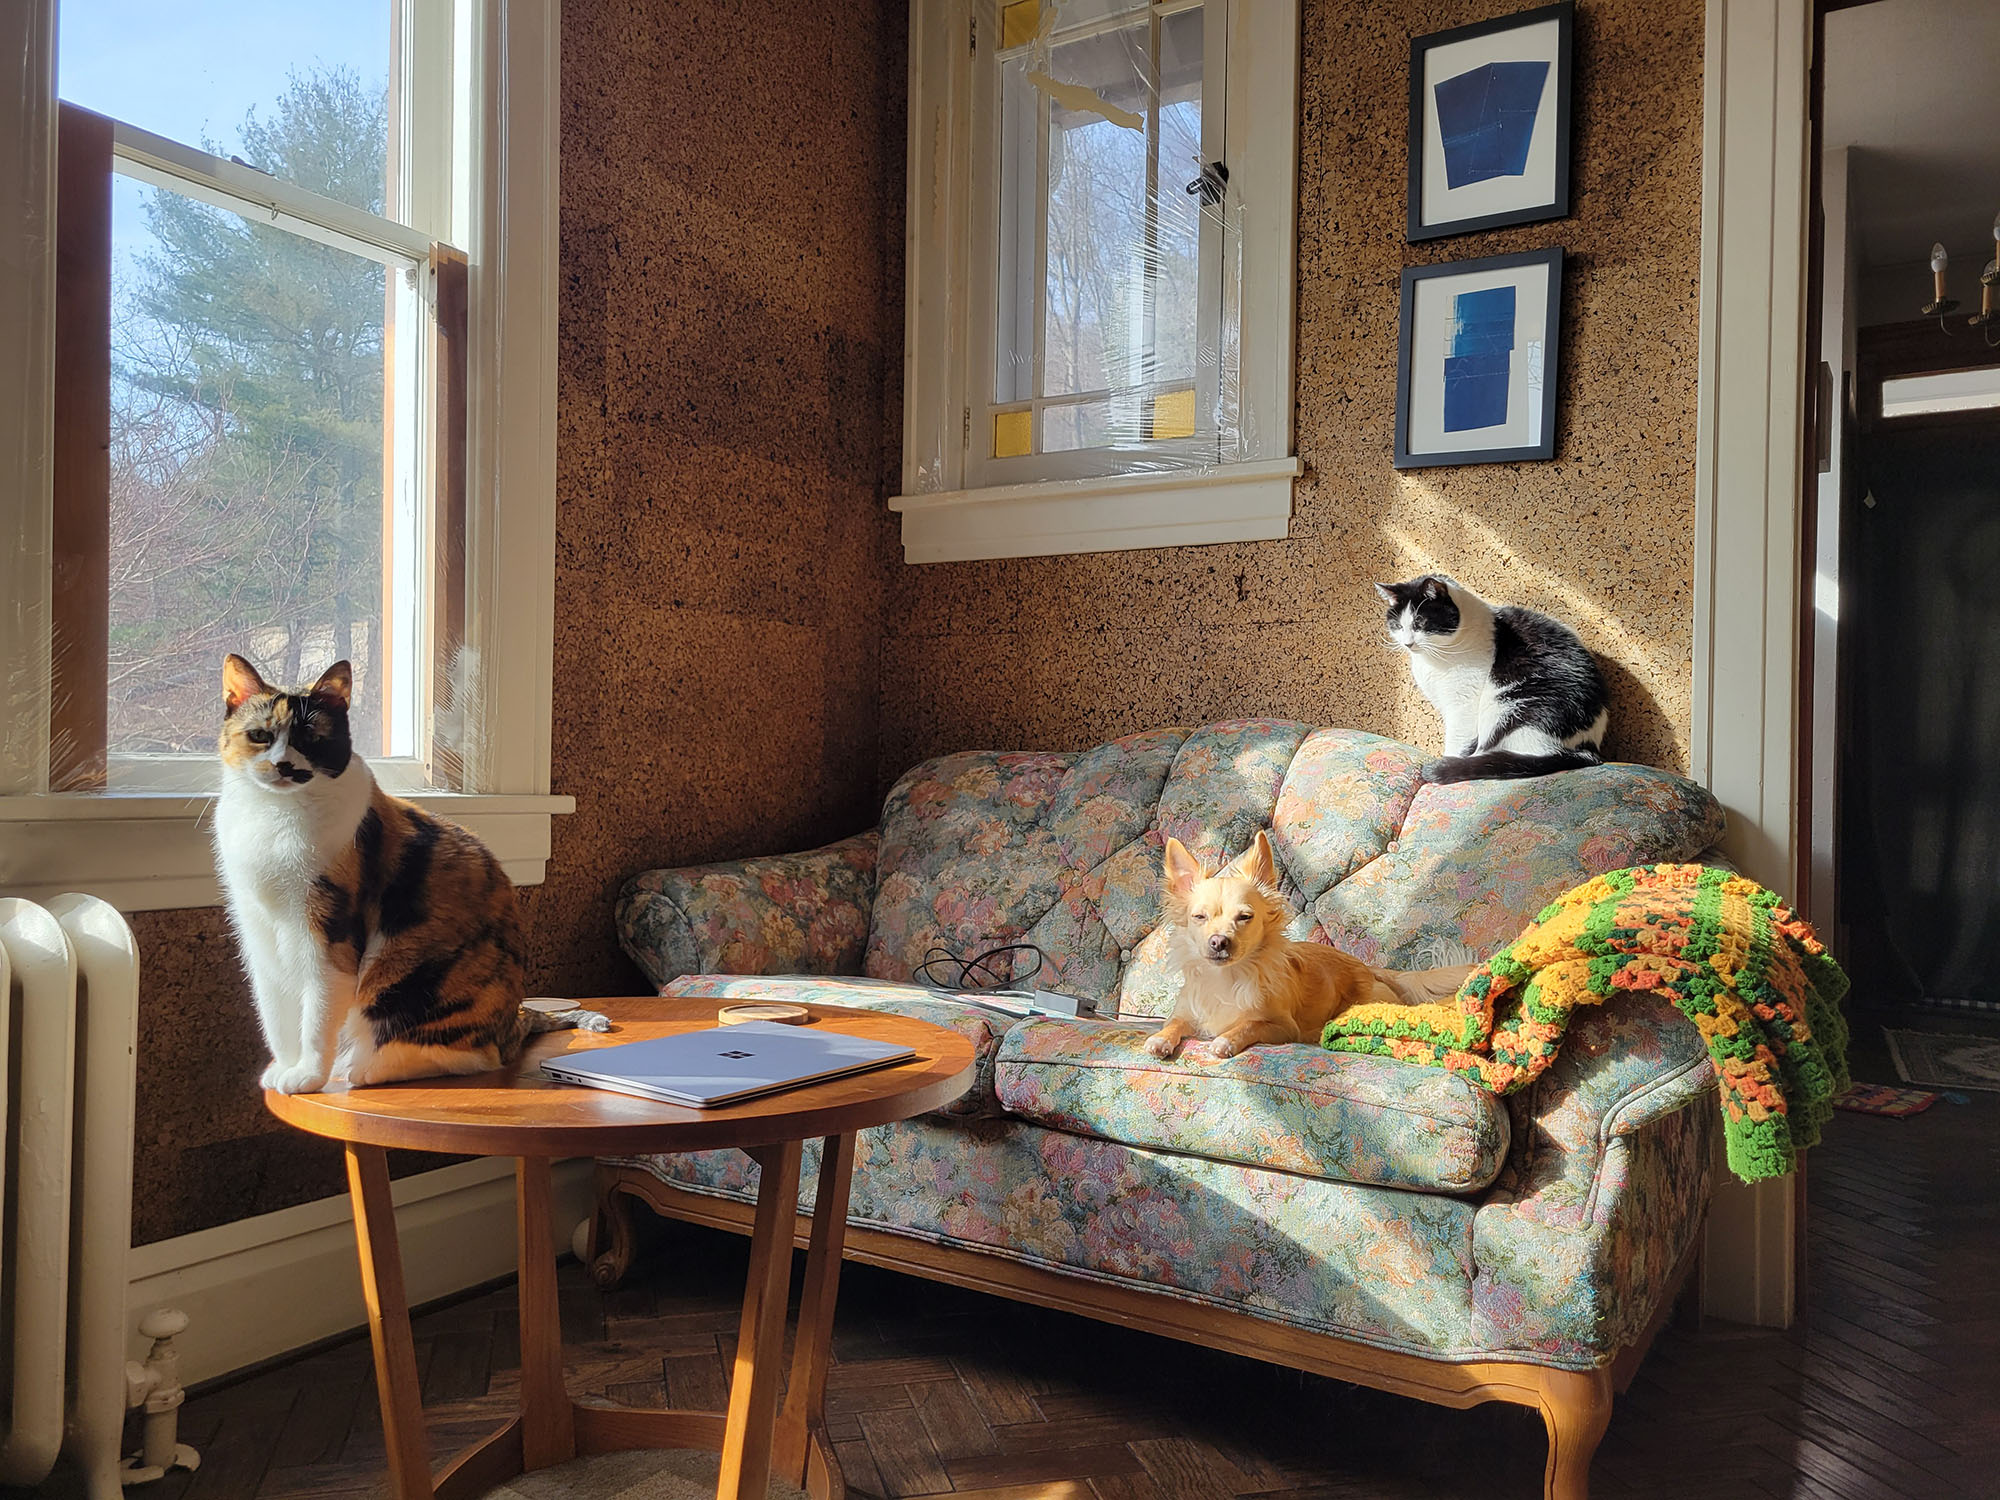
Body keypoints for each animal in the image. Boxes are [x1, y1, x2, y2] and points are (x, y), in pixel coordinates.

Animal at [214, 656, 528, 1096]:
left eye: (311, 739)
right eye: (260, 735)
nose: (283, 765)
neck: (274, 816)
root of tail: (511, 1026)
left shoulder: (330, 934)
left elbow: (316, 1014)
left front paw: (308, 1075)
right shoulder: (258, 930)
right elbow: (275, 1011)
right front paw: (285, 1067)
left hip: (409, 979)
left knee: (469, 1056)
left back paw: (364, 1067)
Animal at [1144, 836, 1408, 1072]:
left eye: (1245, 917)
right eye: (1199, 917)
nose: (1219, 941)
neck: (1226, 976)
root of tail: (1369, 969)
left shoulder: (1284, 1027)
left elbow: (1250, 1024)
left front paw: (1225, 1040)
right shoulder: (1184, 1013)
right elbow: (1174, 1023)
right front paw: (1161, 1038)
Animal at [1376, 576, 1608, 788]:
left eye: (1420, 623)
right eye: (1398, 626)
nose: (1408, 643)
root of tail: (1589, 748)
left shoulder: (1463, 704)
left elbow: (1457, 741)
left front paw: (1444, 765)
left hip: (1510, 705)